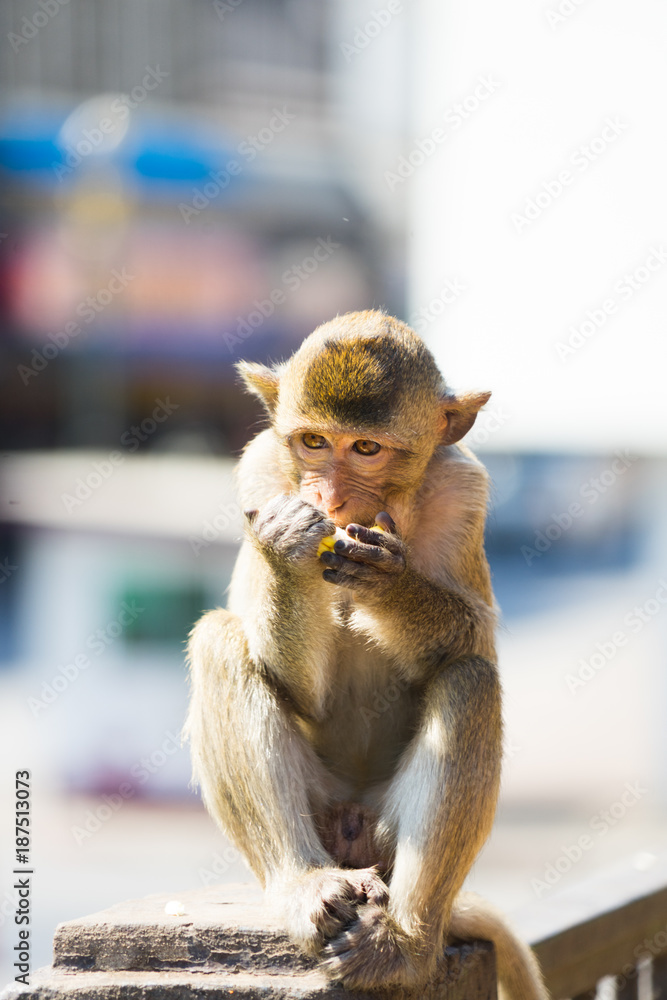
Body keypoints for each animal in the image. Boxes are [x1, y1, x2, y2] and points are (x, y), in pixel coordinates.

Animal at [185, 310, 547, 1000]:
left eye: (367, 450)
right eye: (314, 442)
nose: (327, 498)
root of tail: (353, 834)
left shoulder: (464, 489)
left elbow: (473, 639)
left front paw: (386, 582)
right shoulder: (260, 471)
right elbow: (294, 687)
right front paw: (285, 546)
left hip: (386, 832)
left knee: (469, 679)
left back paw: (405, 942)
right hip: (323, 812)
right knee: (219, 641)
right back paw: (303, 884)